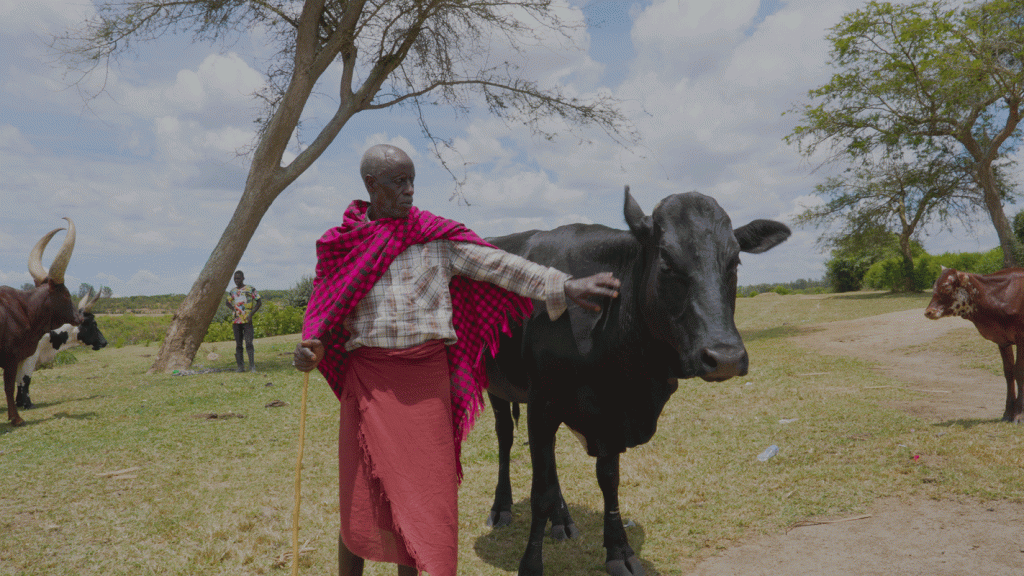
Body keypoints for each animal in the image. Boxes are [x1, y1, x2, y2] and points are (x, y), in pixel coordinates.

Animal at [0, 218, 82, 426]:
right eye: (67, 294)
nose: (79, 316)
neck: (26, 310)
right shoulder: (11, 358)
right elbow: (9, 387)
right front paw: (16, 418)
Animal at [485, 186, 790, 569]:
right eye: (667, 263)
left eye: (734, 261)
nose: (725, 358)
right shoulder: (545, 402)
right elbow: (539, 492)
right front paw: (530, 564)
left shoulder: (609, 415)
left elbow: (609, 481)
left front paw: (620, 550)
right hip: (499, 388)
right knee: (506, 438)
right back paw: (502, 508)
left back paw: (562, 520)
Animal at [929, 266, 1024, 422]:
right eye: (934, 287)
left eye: (947, 287)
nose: (929, 311)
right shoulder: (1003, 340)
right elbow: (1009, 372)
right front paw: (1007, 414)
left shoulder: (1021, 338)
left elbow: (1019, 371)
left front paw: (1019, 415)